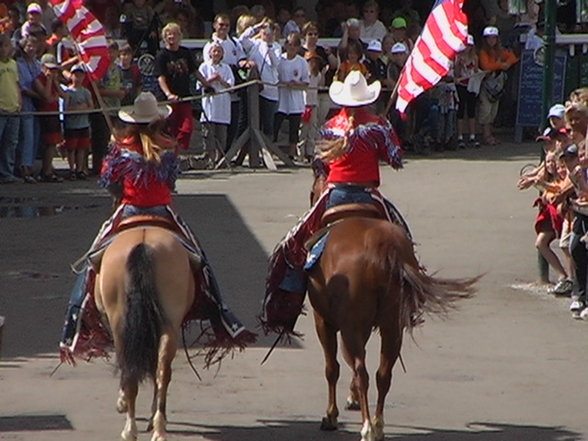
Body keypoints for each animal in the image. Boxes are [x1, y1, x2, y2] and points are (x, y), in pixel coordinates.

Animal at [94, 225, 195, 438]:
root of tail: (143, 244)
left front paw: (122, 402)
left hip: (119, 323)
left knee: (130, 371)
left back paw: (129, 429)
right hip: (170, 321)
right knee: (162, 369)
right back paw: (159, 428)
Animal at [306, 174, 480, 438]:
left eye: (311, 193)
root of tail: (381, 248)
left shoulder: (324, 321)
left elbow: (332, 368)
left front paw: (330, 415)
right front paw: (351, 399)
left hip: (353, 326)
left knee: (362, 371)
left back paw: (368, 427)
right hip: (391, 325)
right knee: (383, 373)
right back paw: (377, 424)